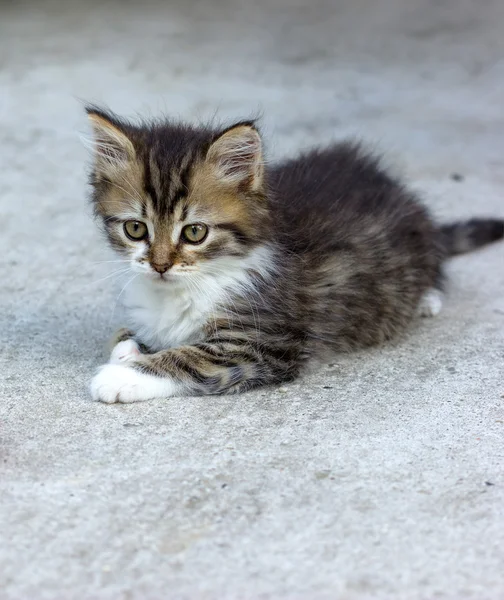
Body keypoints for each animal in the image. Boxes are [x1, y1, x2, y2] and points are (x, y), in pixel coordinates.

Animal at [84, 107, 502, 404]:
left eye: (195, 232)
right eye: (135, 229)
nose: (159, 265)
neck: (182, 287)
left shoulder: (263, 342)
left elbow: (190, 356)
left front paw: (123, 375)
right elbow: (133, 334)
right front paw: (128, 346)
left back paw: (427, 299)